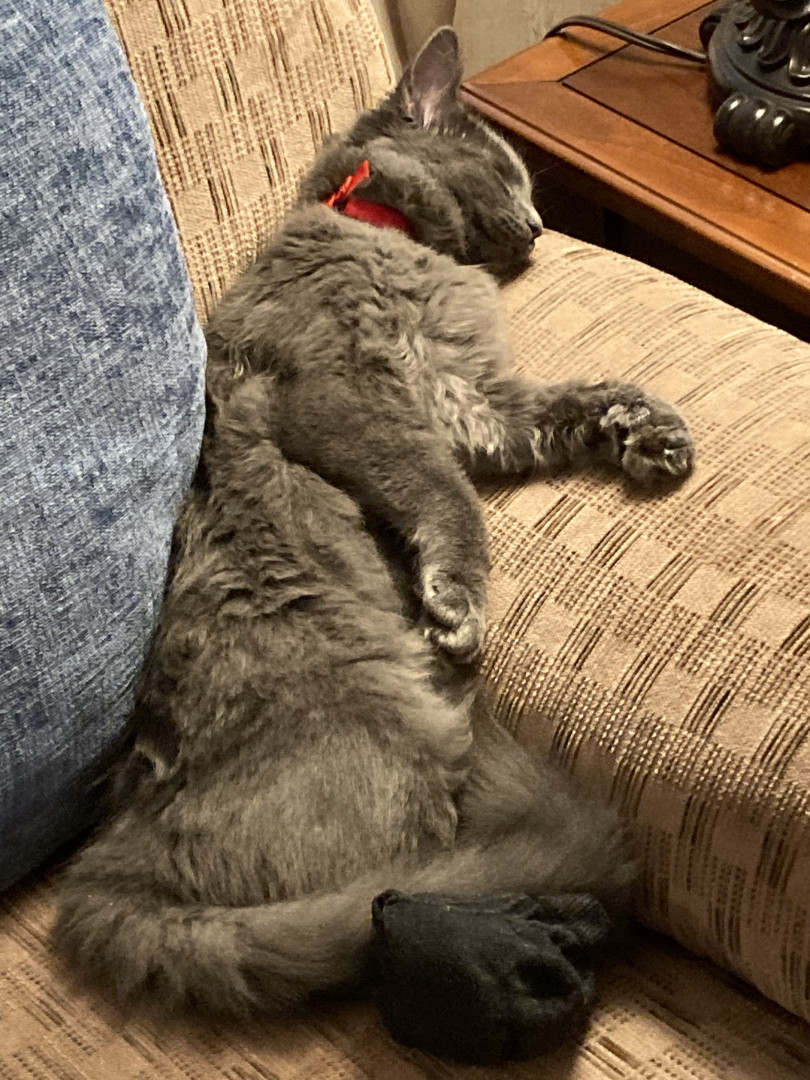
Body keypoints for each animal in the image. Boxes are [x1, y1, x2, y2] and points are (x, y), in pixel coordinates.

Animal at [54, 27, 693, 1064]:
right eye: (510, 174)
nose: (538, 229)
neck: (384, 235)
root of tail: (109, 870)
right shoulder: (350, 396)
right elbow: (447, 500)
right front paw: (457, 600)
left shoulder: (477, 402)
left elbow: (575, 400)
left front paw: (654, 433)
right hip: (393, 733)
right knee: (402, 885)